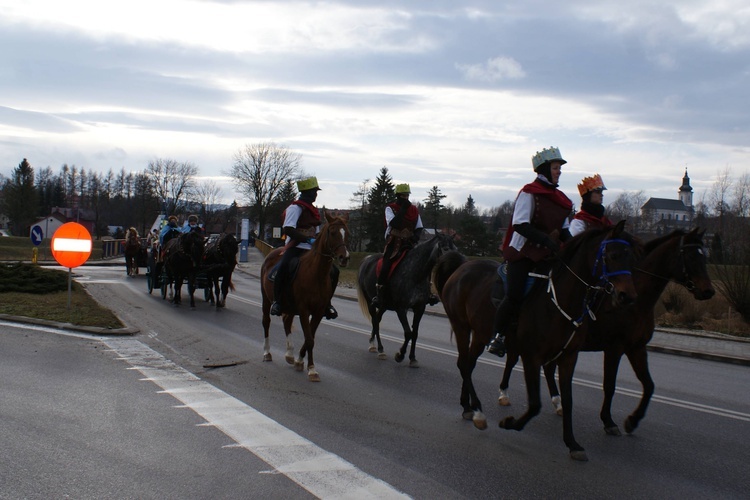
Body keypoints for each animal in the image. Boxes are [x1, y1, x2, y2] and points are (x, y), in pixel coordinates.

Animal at [260, 214, 352, 382]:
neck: (316, 274)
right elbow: (309, 339)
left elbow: (311, 337)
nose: (344, 257)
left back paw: (290, 354)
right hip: (266, 299)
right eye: (333, 232)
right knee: (266, 322)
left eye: (346, 233)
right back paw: (267, 352)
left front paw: (300, 361)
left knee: (286, 322)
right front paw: (312, 370)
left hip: (289, 306)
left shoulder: (318, 311)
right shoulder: (304, 310)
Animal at [356, 233, 458, 368]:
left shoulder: (419, 308)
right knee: (375, 321)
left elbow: (414, 333)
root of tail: (366, 260)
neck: (415, 273)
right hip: (370, 302)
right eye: (445, 248)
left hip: (384, 305)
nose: (456, 268)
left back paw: (373, 344)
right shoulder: (401, 308)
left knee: (377, 319)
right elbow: (408, 332)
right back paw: (380, 349)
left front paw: (412, 358)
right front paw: (400, 355)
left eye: (456, 248)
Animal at [434, 221, 640, 462]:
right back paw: (478, 413)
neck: (560, 301)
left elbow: (568, 401)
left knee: (468, 364)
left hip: (480, 333)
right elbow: (534, 405)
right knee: (464, 364)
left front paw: (572, 443)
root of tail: (462, 267)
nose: (628, 296)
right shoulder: (532, 357)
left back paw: (467, 407)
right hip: (461, 326)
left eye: (631, 257)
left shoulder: (569, 357)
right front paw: (510, 422)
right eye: (613, 255)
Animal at [500, 227, 716, 434]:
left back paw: (558, 402)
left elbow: (648, 385)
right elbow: (610, 385)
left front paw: (633, 420)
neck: (637, 302)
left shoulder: (637, 348)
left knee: (547, 367)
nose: (708, 291)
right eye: (690, 256)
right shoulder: (615, 348)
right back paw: (504, 393)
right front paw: (608, 421)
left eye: (704, 256)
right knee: (512, 360)